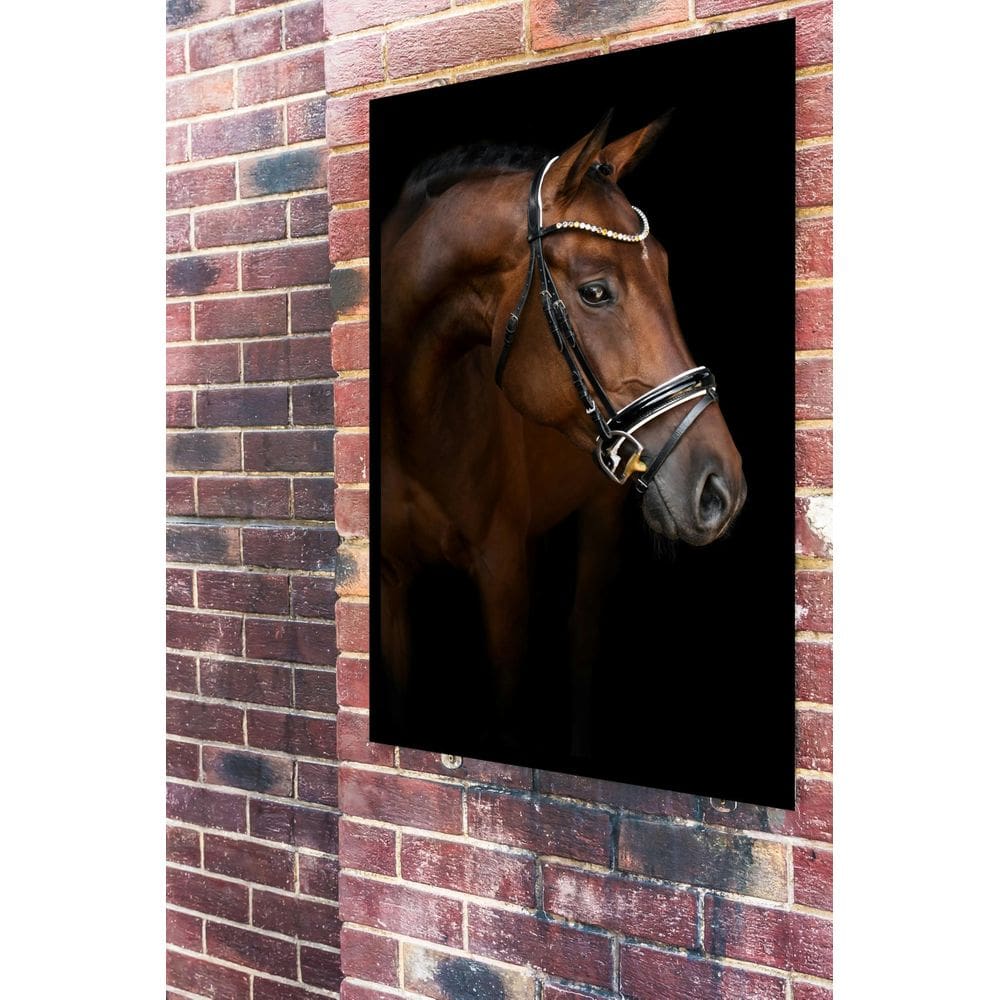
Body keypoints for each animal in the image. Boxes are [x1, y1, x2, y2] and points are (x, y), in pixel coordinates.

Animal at [377, 111, 746, 753]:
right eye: (596, 291)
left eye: (667, 271)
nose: (719, 490)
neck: (413, 417)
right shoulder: (390, 584)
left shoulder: (501, 575)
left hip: (600, 515)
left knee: (582, 644)